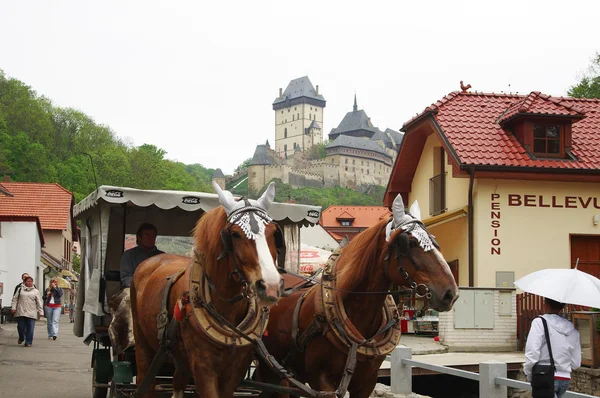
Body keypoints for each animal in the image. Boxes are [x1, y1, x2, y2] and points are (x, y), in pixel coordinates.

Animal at [131, 183, 284, 398]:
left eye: (273, 233)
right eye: (235, 234)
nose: (270, 286)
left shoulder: (236, 369)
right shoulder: (203, 368)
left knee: (178, 381)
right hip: (143, 344)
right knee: (146, 380)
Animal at [255, 194, 458, 396]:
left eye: (434, 240)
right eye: (410, 243)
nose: (451, 293)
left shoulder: (366, 382)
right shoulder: (321, 381)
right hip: (271, 370)